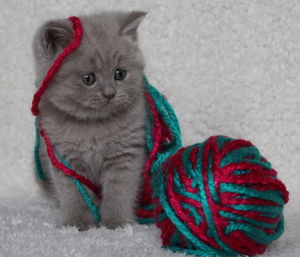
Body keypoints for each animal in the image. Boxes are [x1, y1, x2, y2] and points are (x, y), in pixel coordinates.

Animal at [33, 11, 147, 229]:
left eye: (119, 74)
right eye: (88, 79)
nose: (109, 93)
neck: (94, 126)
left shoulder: (124, 155)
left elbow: (119, 192)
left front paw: (116, 223)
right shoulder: (64, 159)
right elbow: (73, 195)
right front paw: (77, 223)